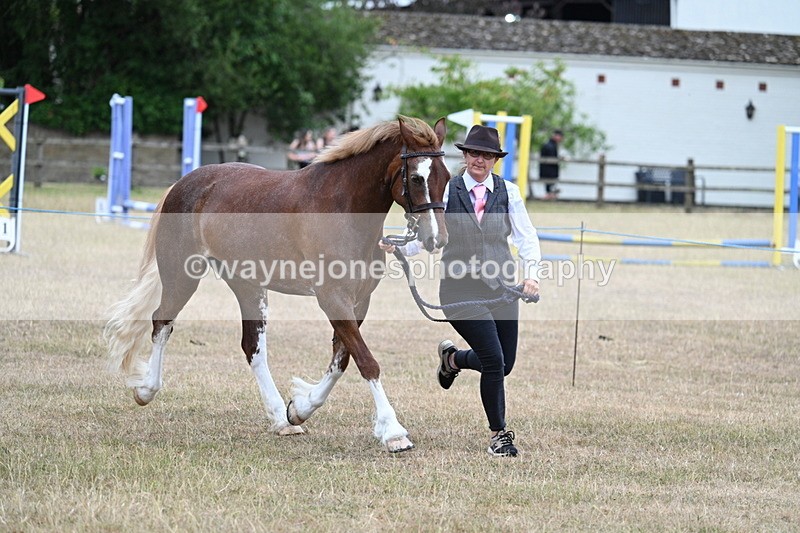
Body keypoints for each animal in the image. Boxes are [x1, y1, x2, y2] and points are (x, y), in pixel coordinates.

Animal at [105, 116, 449, 453]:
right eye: (416, 178)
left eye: (445, 177)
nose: (436, 239)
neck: (343, 207)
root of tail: (183, 183)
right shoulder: (332, 298)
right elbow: (366, 361)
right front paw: (393, 432)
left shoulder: (358, 300)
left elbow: (342, 359)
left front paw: (299, 408)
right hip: (182, 275)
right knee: (162, 322)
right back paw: (146, 390)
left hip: (247, 286)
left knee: (252, 348)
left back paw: (282, 421)